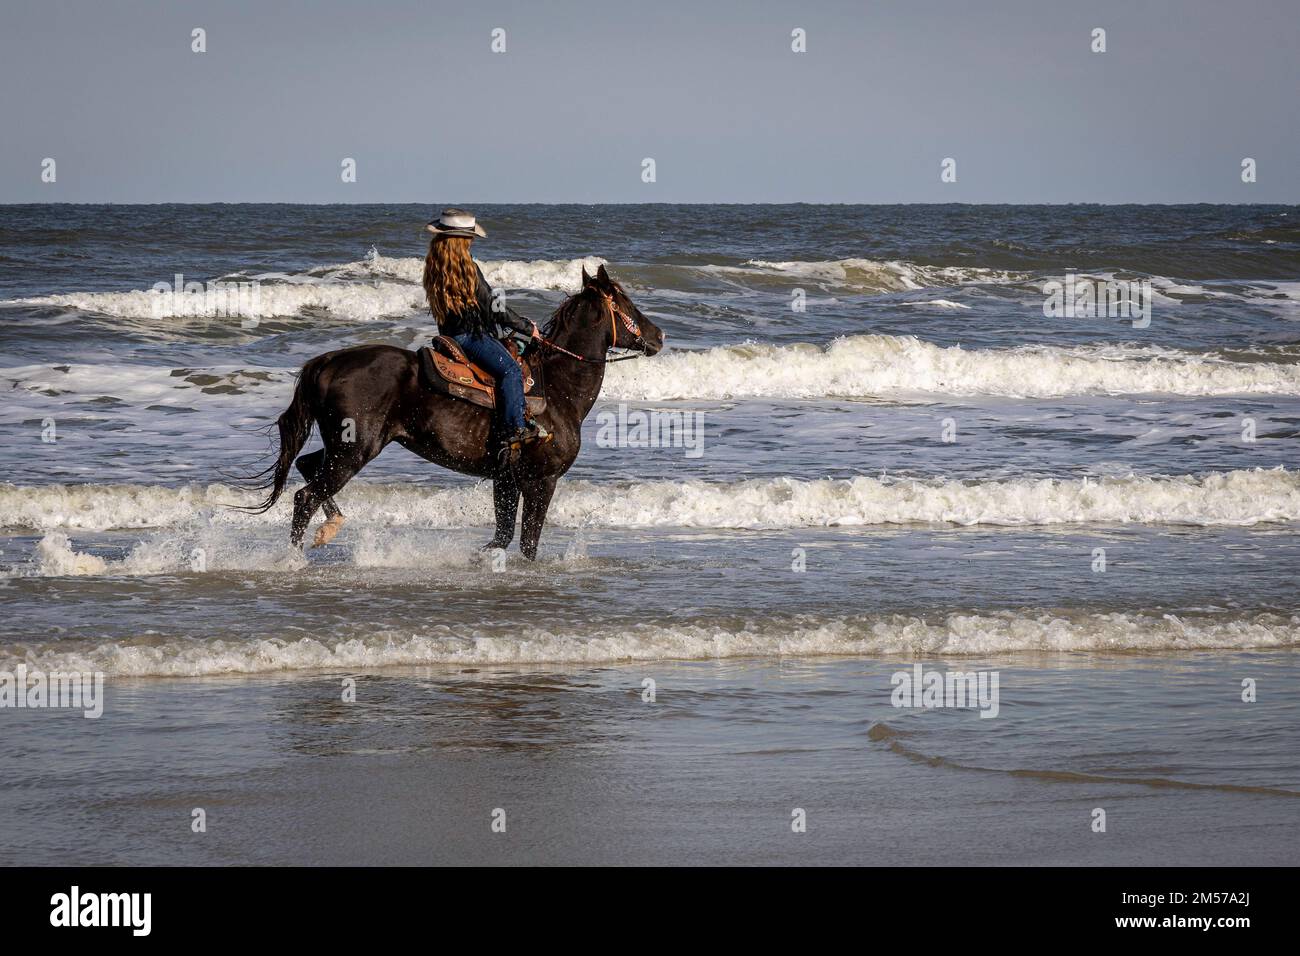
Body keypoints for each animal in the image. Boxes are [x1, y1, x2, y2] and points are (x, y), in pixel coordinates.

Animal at [248, 264, 664, 559]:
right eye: (625, 302)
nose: (659, 336)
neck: (557, 388)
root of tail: (329, 361)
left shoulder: (506, 479)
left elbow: (502, 536)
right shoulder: (541, 480)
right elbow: (527, 543)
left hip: (342, 447)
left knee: (306, 467)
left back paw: (329, 527)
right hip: (354, 450)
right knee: (305, 497)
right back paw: (296, 557)